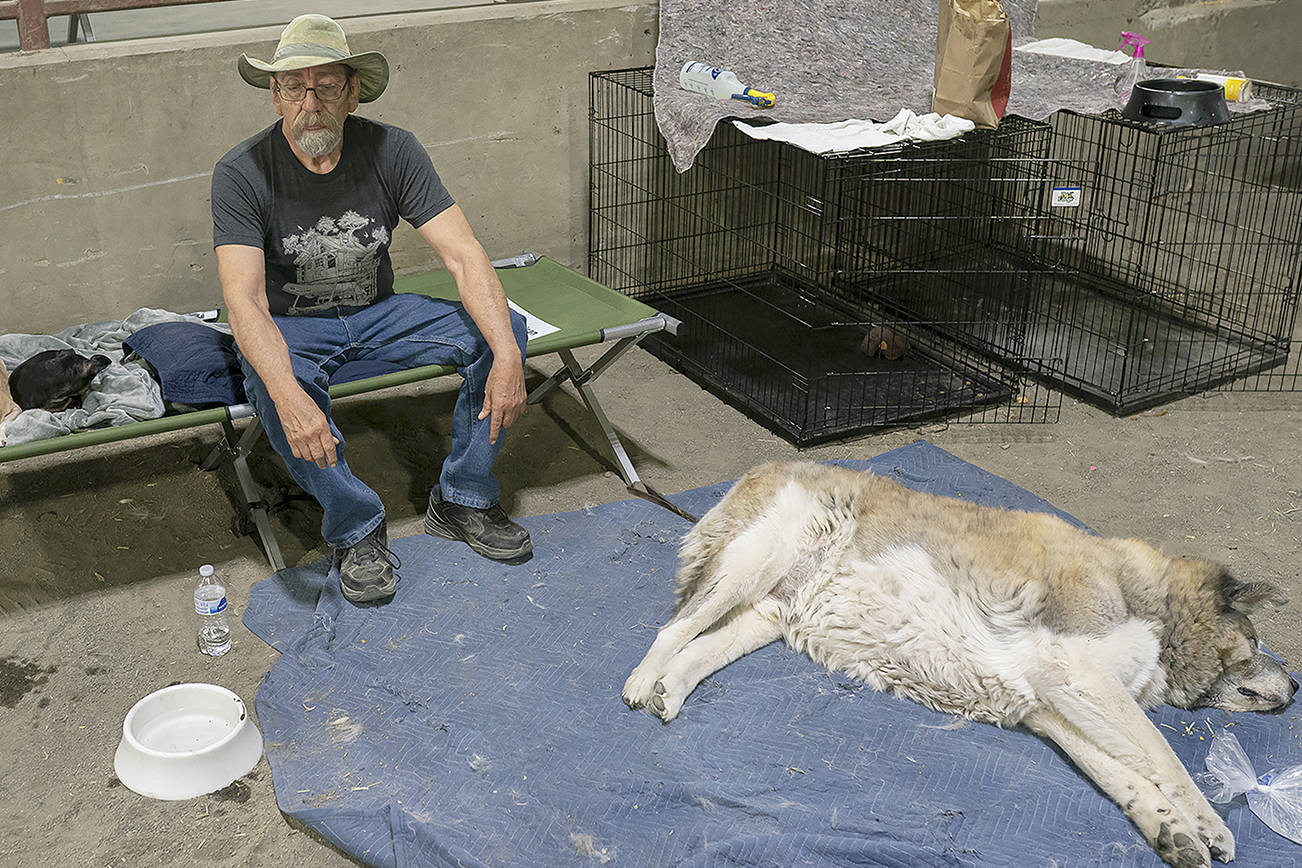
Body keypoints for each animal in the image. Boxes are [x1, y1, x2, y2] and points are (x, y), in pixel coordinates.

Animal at [624, 465, 1296, 868]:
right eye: (1257, 639)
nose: (1294, 682)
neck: (1156, 605)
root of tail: (768, 467)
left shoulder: (1054, 704)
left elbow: (1127, 775)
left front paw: (1170, 830)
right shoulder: (1076, 671)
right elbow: (1163, 757)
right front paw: (1207, 822)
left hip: (770, 612)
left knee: (699, 649)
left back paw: (670, 690)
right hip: (751, 565)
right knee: (672, 629)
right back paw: (640, 682)